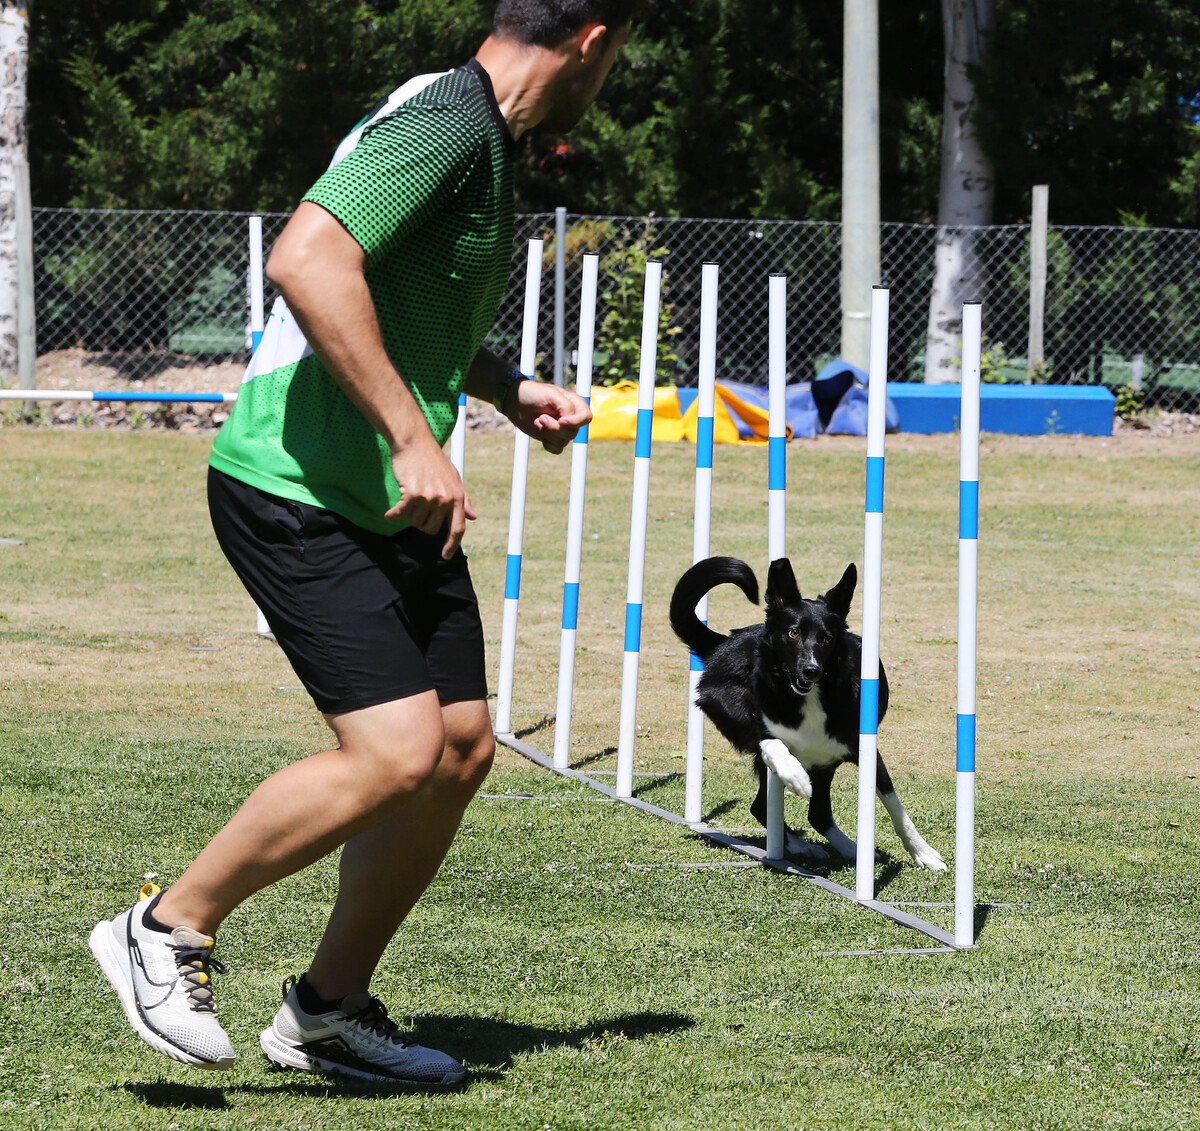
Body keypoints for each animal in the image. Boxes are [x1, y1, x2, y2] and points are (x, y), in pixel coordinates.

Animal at [672, 552, 940, 874]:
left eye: (827, 639)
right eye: (794, 632)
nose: (811, 670)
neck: (811, 699)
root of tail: (724, 642)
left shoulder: (866, 752)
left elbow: (896, 809)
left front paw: (923, 853)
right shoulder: (762, 724)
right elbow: (773, 742)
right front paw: (795, 777)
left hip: (826, 764)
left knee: (815, 814)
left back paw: (846, 847)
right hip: (729, 707)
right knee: (764, 799)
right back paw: (803, 843)